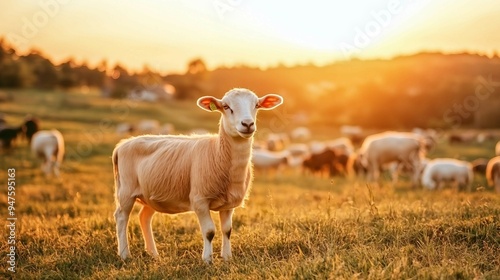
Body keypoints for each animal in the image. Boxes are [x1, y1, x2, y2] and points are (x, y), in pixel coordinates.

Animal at [113, 88, 284, 264]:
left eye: (256, 105)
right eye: (226, 106)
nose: (248, 124)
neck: (218, 152)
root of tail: (122, 145)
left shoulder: (229, 204)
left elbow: (227, 230)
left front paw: (227, 258)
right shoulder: (199, 200)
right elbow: (209, 231)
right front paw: (207, 260)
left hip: (150, 195)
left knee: (144, 217)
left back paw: (153, 254)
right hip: (126, 190)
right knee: (121, 217)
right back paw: (125, 254)